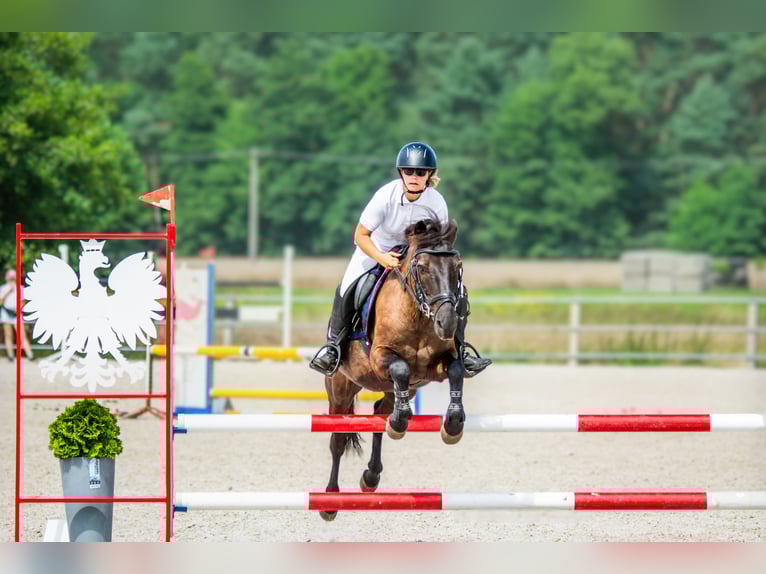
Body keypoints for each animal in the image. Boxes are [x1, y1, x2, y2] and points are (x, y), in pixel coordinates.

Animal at [320, 217, 466, 521]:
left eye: (457, 268)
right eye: (422, 268)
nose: (447, 323)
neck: (418, 314)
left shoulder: (436, 366)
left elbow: (457, 371)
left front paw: (453, 424)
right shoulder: (381, 357)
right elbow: (400, 368)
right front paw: (401, 423)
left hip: (397, 390)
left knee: (380, 413)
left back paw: (371, 476)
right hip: (340, 387)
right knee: (337, 439)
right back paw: (329, 501)